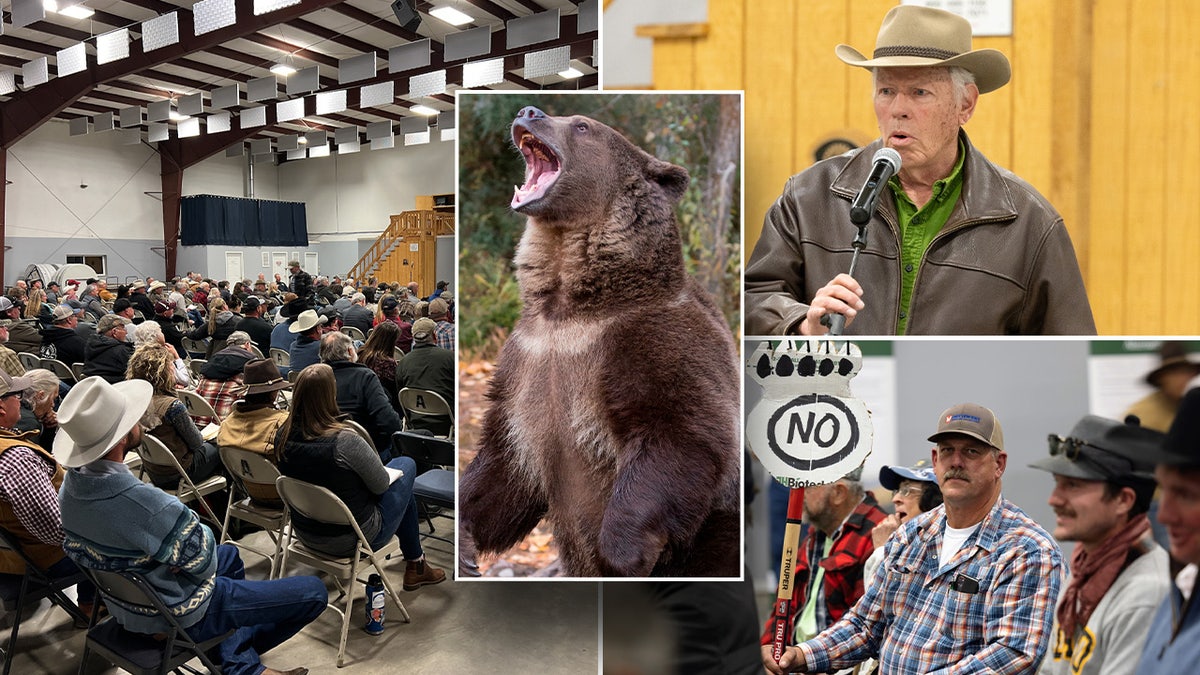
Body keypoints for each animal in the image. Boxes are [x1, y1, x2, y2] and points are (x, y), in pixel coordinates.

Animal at [458, 105, 739, 571]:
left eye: (581, 125)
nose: (527, 111)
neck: (570, 306)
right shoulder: (526, 365)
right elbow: (505, 467)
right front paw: (462, 542)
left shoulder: (646, 341)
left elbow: (684, 432)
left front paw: (623, 553)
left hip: (716, 539)